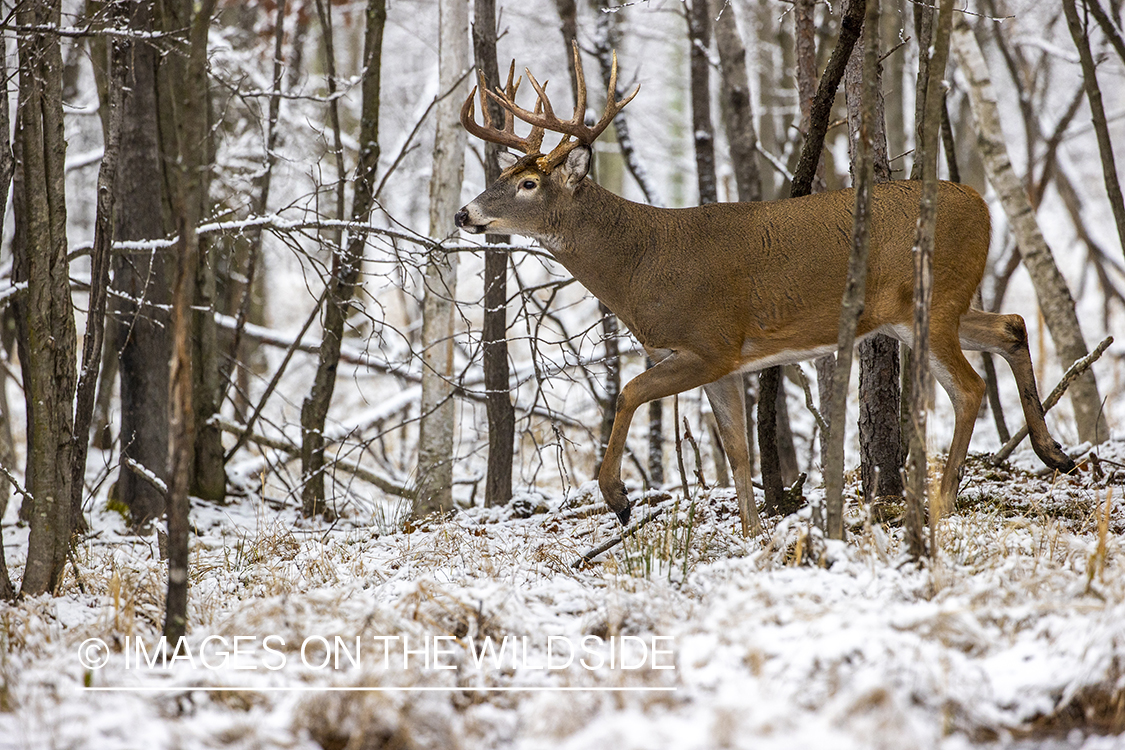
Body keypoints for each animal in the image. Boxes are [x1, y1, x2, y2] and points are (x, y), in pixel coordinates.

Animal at [452, 44, 1075, 537]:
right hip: (931, 307)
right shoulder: (722, 364)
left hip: (934, 299)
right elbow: (736, 448)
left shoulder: (709, 344)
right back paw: (1055, 454)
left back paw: (943, 501)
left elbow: (628, 392)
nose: (464, 214)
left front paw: (619, 499)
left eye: (528, 183)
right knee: (1012, 326)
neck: (642, 264)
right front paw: (752, 531)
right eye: (501, 175)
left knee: (969, 387)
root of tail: (984, 207)